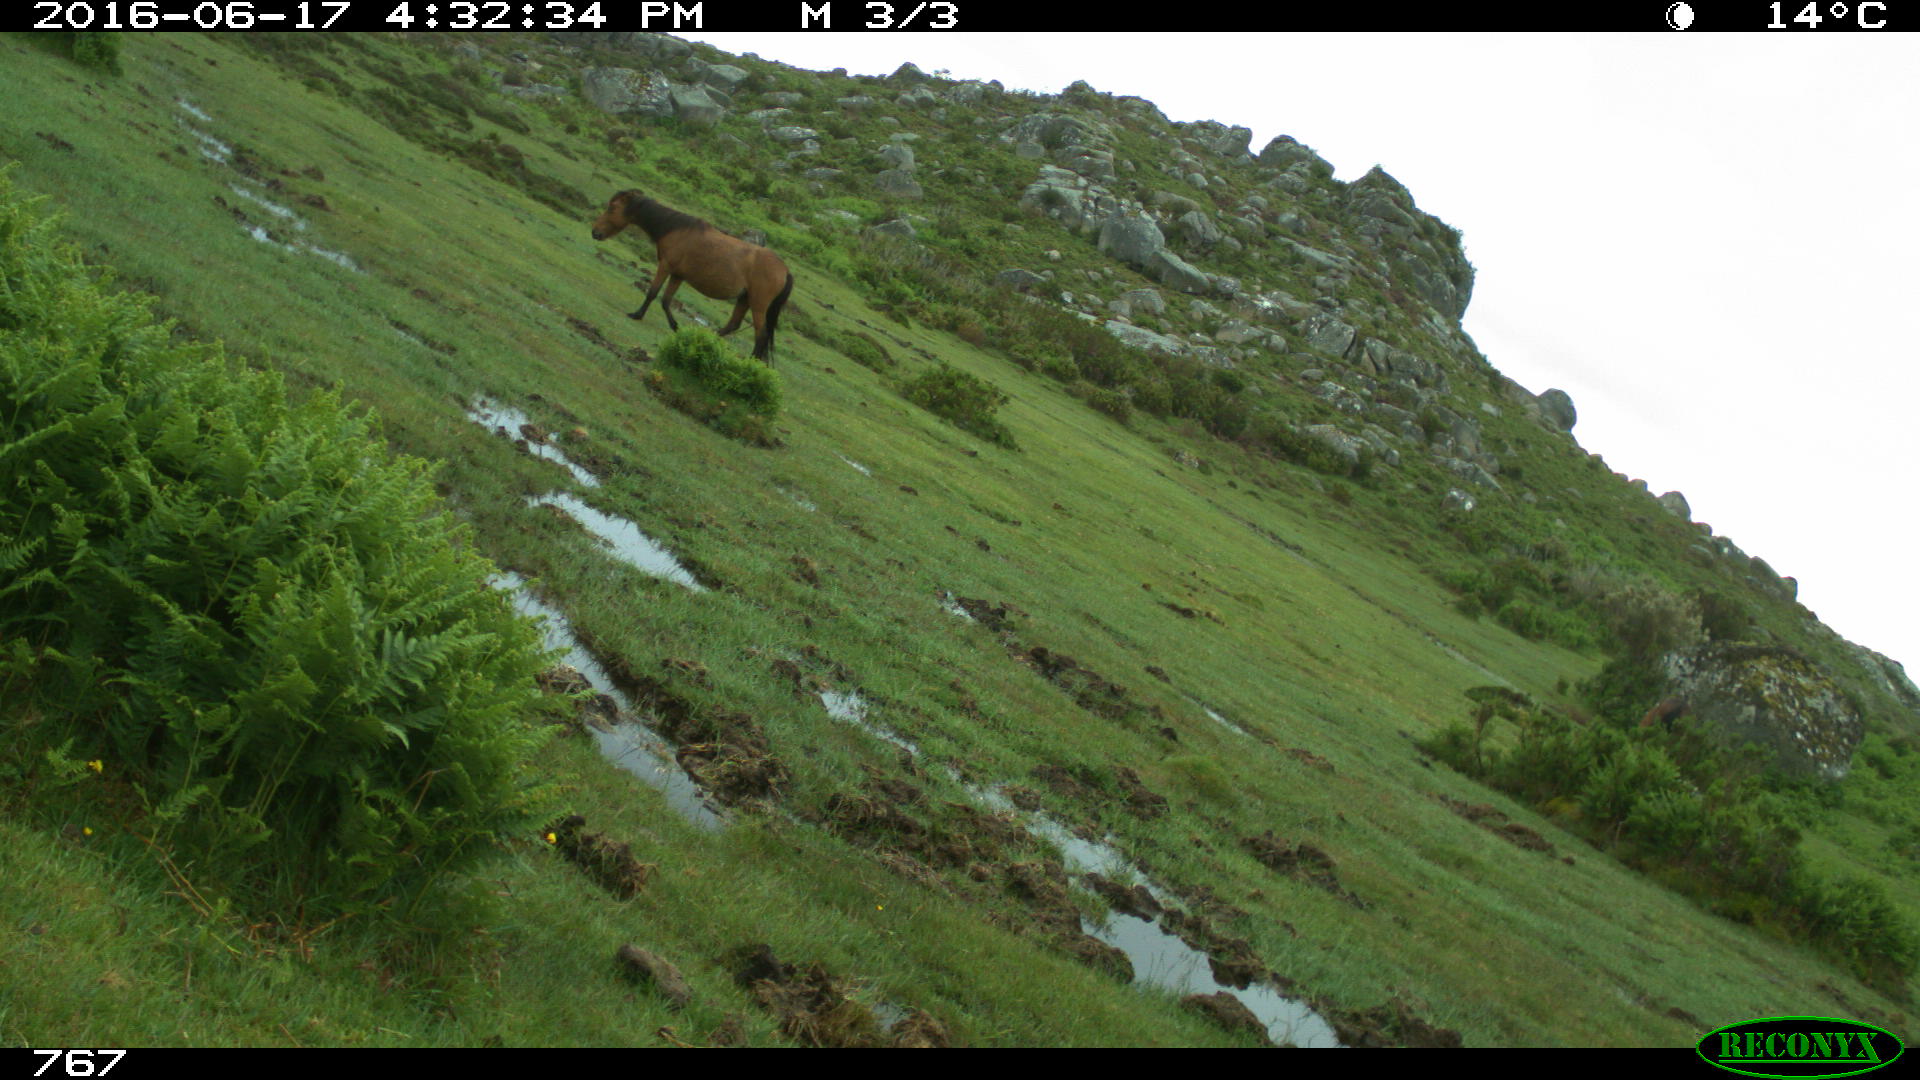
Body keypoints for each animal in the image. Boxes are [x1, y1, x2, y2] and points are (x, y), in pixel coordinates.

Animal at [590, 190, 794, 365]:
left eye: (612, 208)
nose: (595, 232)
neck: (676, 229)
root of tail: (784, 270)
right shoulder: (677, 275)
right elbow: (666, 300)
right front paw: (676, 327)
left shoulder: (665, 267)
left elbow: (652, 293)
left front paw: (636, 315)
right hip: (744, 299)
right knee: (733, 325)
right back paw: (707, 339)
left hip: (758, 304)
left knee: (761, 335)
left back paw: (749, 362)